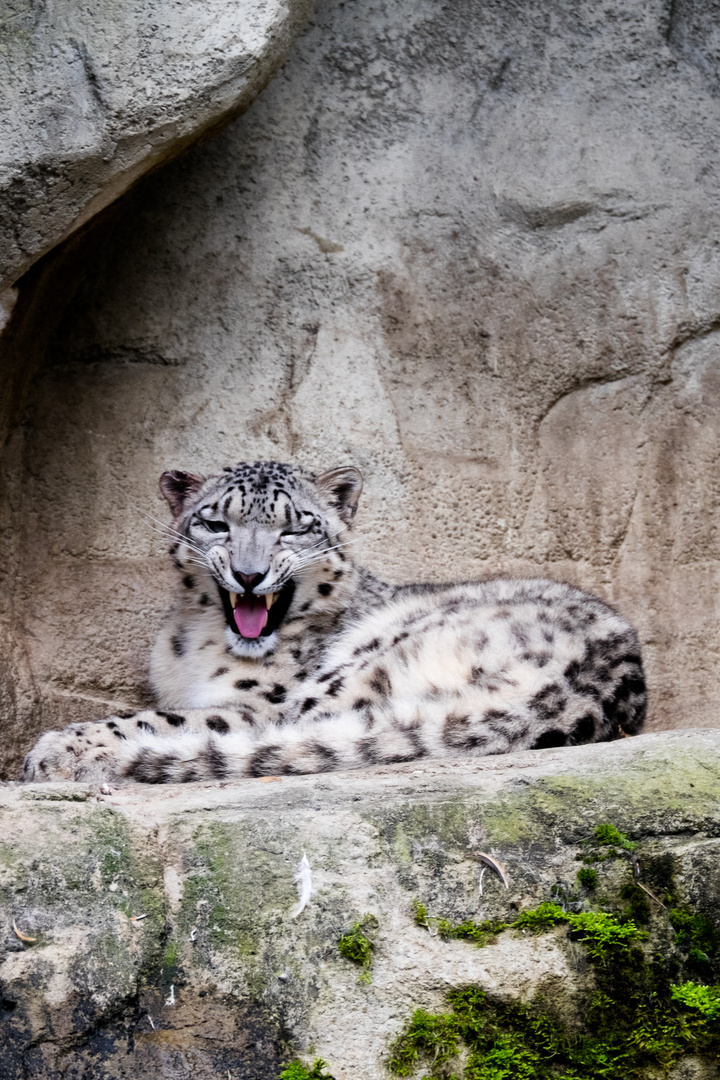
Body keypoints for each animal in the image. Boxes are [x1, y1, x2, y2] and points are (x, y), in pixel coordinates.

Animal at [23, 457, 647, 786]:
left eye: (295, 527)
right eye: (216, 524)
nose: (249, 574)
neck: (197, 641)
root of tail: (591, 680)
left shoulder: (259, 701)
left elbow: (167, 717)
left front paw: (58, 747)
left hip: (350, 672)